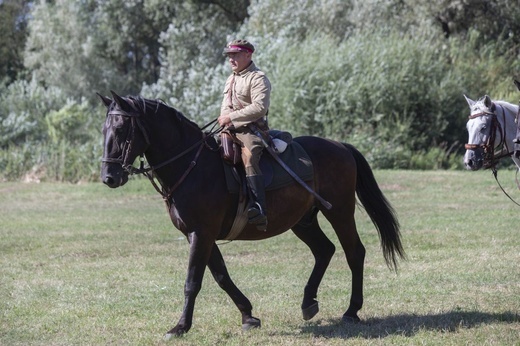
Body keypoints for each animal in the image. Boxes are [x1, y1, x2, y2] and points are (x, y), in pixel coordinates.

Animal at [98, 90, 406, 336]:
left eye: (122, 129)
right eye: (104, 130)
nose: (109, 177)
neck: (193, 164)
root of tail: (341, 146)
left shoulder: (202, 233)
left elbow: (192, 281)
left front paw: (180, 327)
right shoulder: (199, 235)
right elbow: (221, 276)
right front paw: (248, 315)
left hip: (340, 212)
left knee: (354, 252)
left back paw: (352, 311)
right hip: (303, 221)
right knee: (324, 250)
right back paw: (308, 302)